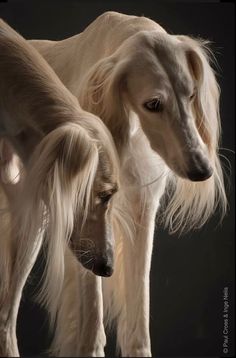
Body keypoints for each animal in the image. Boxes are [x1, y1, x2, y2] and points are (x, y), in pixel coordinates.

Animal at [30, 10, 228, 356]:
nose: (202, 170)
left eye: (191, 94)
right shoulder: (86, 219)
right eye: (153, 104)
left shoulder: (141, 209)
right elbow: (92, 322)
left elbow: (138, 320)